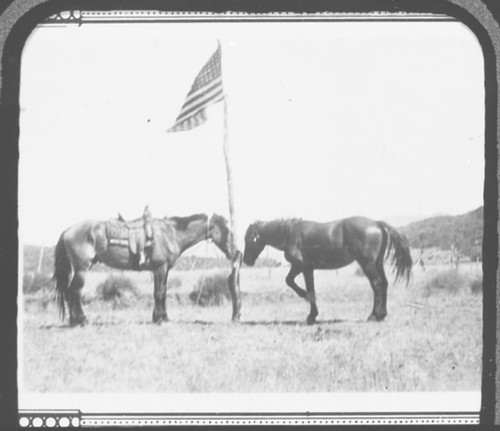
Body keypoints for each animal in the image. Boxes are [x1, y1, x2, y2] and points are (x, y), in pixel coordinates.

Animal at [53, 214, 241, 326]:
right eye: (223, 230)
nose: (236, 252)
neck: (170, 233)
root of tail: (68, 231)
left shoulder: (165, 269)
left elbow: (162, 293)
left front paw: (163, 317)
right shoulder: (159, 268)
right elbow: (158, 293)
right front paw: (158, 318)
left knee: (71, 293)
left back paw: (74, 321)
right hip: (82, 269)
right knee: (74, 292)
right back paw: (81, 320)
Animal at [244, 218, 412, 326]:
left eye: (249, 239)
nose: (246, 260)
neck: (290, 233)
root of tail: (377, 224)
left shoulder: (301, 267)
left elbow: (297, 285)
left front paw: (309, 308)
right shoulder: (307, 269)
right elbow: (304, 286)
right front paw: (312, 314)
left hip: (367, 264)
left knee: (376, 284)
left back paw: (373, 315)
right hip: (377, 263)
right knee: (384, 284)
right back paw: (382, 315)